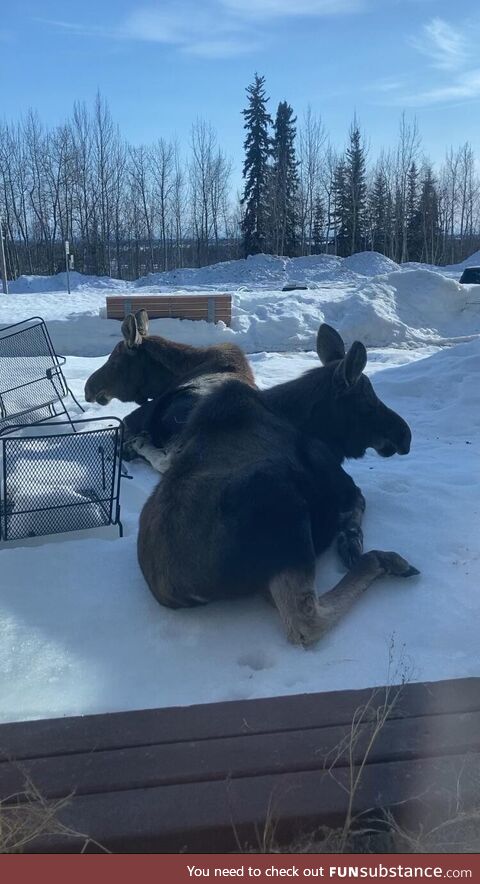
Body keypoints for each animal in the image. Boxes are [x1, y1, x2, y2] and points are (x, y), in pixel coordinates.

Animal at [84, 314, 418, 644]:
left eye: (116, 357)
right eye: (369, 402)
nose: (405, 434)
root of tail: (174, 591)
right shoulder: (340, 482)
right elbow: (359, 502)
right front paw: (351, 541)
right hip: (284, 512)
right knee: (305, 621)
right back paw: (384, 560)